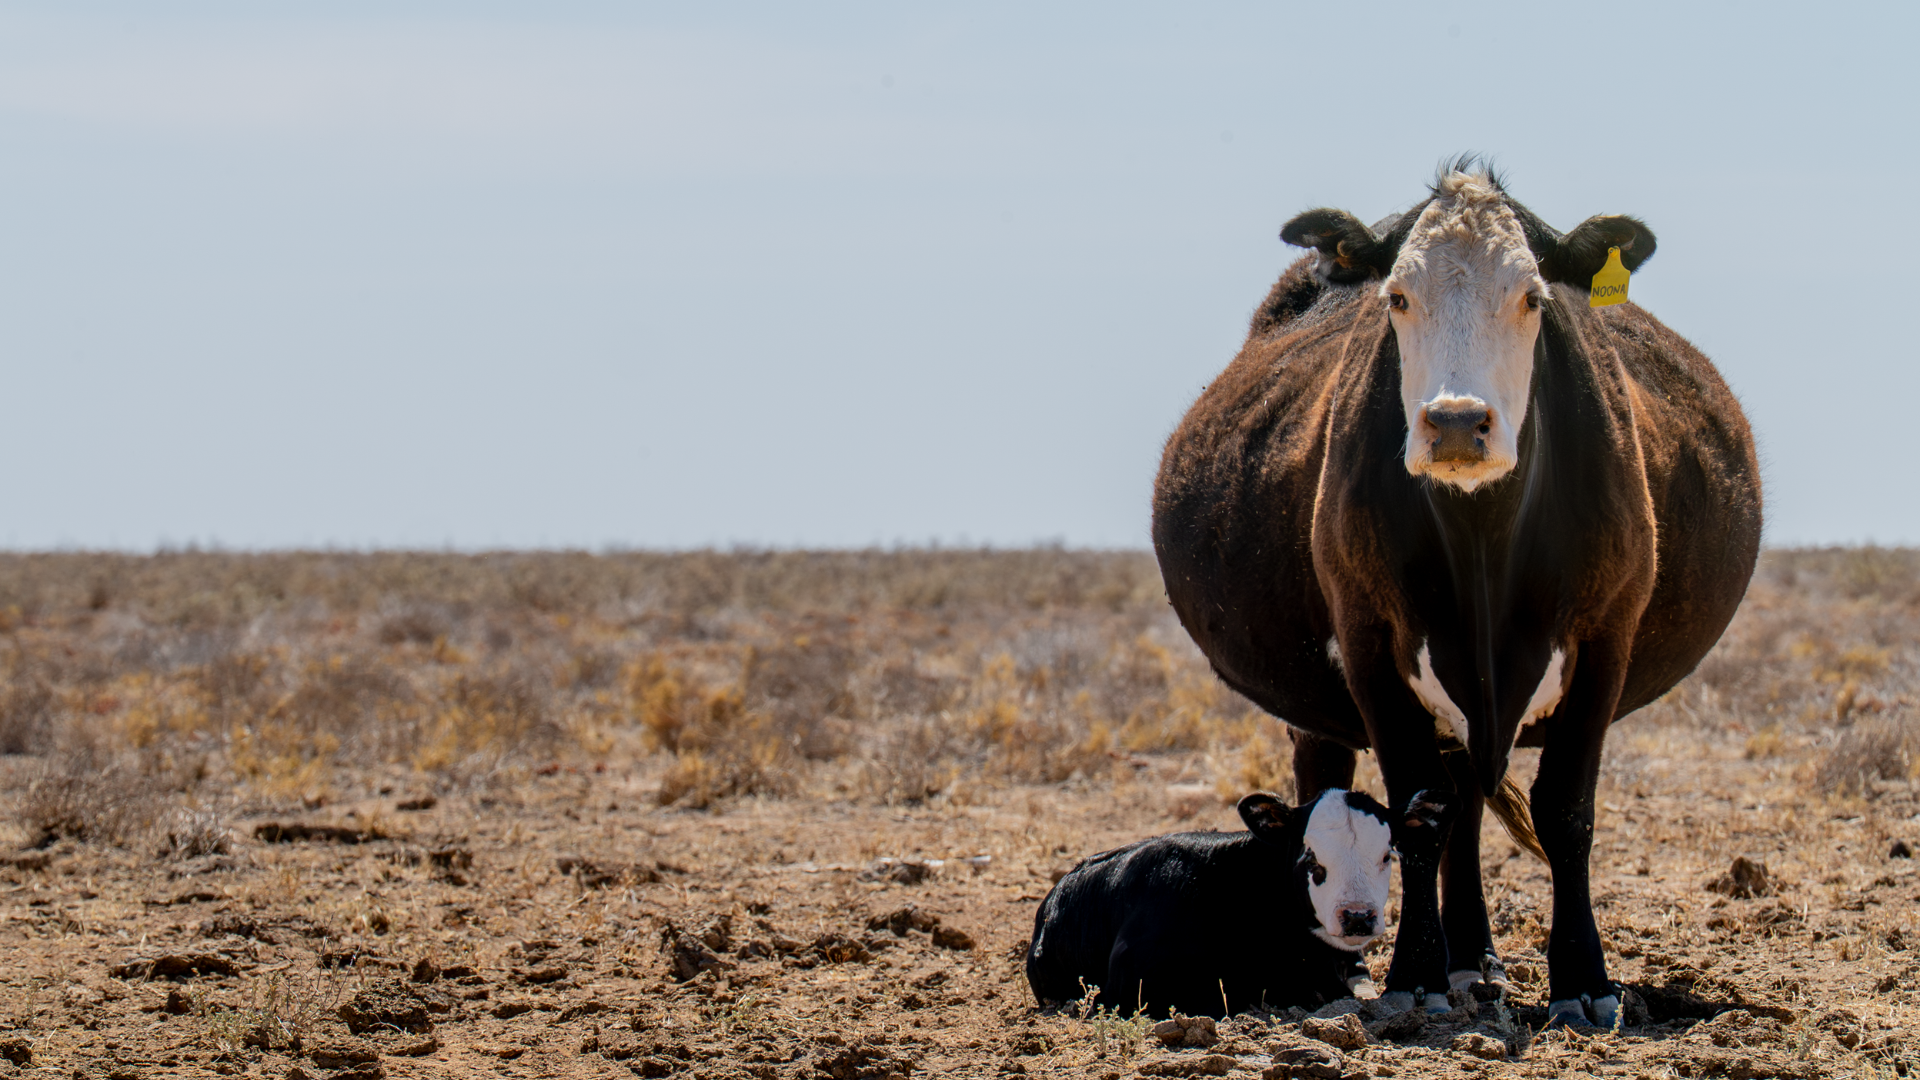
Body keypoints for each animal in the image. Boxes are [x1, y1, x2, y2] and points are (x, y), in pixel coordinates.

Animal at [1151, 160, 1762, 1027]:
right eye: (1398, 297)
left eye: (1533, 296)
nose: (1454, 423)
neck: (1484, 541)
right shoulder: (1369, 638)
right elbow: (1413, 812)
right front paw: (1416, 975)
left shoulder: (1607, 634)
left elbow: (1564, 809)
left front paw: (1584, 982)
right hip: (1321, 703)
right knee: (1344, 781)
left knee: (1465, 804)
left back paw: (1477, 960)